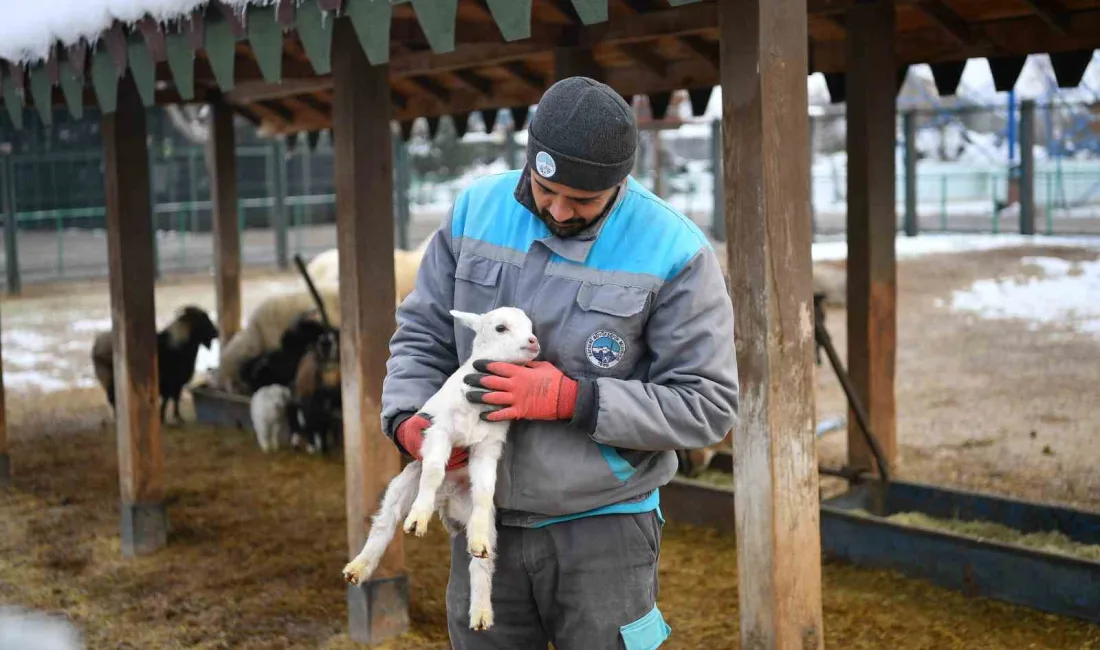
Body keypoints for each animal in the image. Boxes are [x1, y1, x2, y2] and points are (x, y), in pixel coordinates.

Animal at [91, 305, 220, 424]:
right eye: (203, 320)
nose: (217, 332)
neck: (180, 346)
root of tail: (97, 346)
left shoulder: (173, 384)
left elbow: (171, 399)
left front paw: (166, 418)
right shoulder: (173, 383)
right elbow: (172, 399)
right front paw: (173, 418)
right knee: (113, 399)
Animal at [336, 307, 539, 633]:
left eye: (531, 326)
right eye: (501, 328)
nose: (534, 342)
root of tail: (446, 499)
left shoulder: (488, 446)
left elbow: (485, 491)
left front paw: (477, 533)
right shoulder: (439, 431)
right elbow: (432, 470)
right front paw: (418, 518)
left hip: (475, 515)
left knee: (482, 563)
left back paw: (481, 609)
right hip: (405, 482)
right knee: (385, 524)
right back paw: (359, 567)